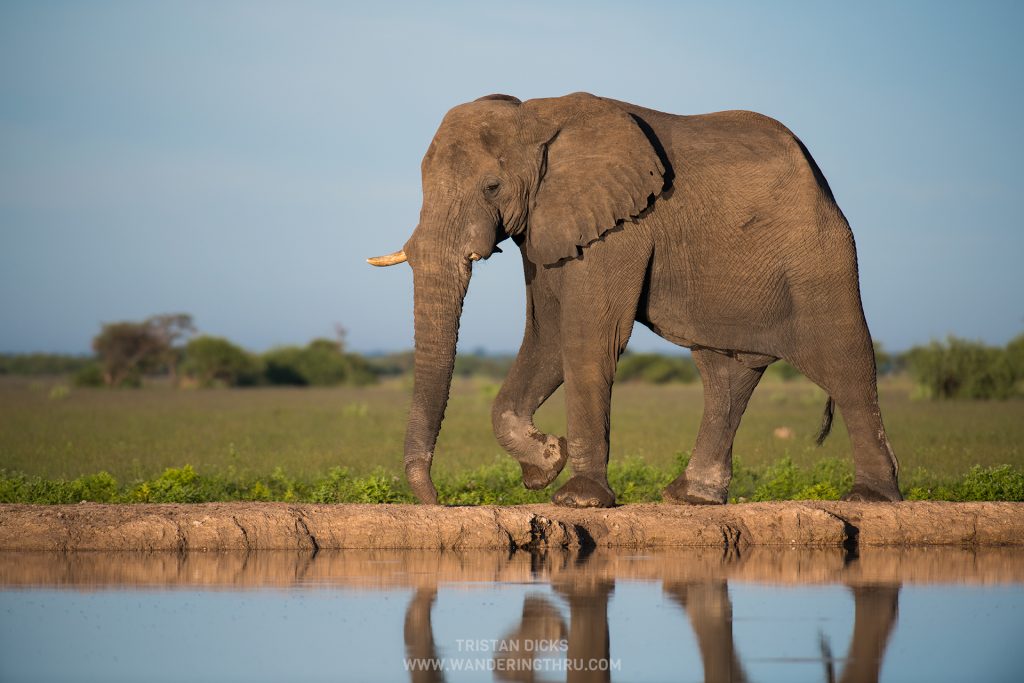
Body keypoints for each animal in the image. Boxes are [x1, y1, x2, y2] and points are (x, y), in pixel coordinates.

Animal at [368, 91, 901, 507]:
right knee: (726, 371)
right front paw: (546, 461)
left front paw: (575, 497)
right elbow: (546, 337)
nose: (437, 501)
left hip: (820, 254)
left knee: (845, 360)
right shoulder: (550, 226)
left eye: (492, 186)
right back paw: (690, 496)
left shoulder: (620, 226)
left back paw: (870, 497)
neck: (536, 116)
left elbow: (587, 337)